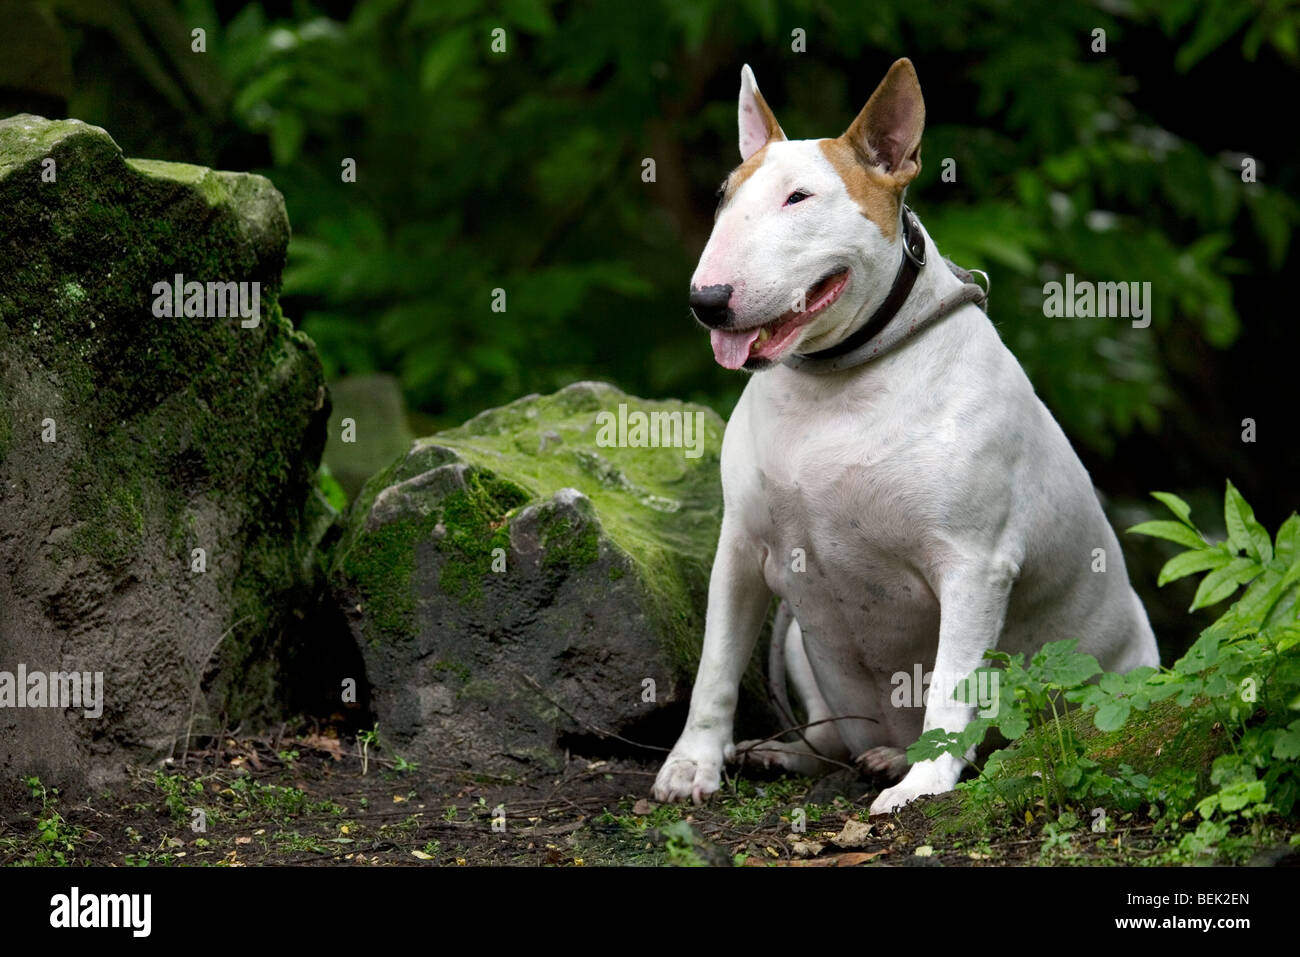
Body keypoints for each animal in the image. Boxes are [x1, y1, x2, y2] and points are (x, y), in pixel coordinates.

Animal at [655, 57, 1164, 816]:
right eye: (724, 196)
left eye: (800, 197)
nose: (706, 301)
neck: (835, 381)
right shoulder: (740, 545)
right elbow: (717, 660)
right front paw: (691, 764)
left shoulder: (975, 563)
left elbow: (954, 682)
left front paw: (925, 783)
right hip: (801, 644)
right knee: (829, 733)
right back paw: (792, 752)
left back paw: (900, 760)